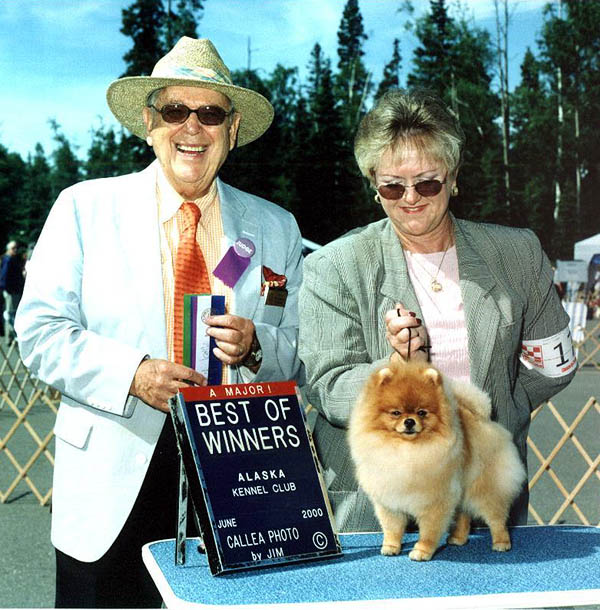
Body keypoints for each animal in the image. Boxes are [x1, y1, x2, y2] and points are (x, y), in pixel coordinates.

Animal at [348, 360, 526, 561]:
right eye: (396, 412)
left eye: (422, 412)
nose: (409, 421)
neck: (406, 450)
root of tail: (485, 421)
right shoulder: (389, 501)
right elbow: (392, 528)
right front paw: (391, 547)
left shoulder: (435, 501)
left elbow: (429, 531)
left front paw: (422, 551)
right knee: (463, 514)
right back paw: (458, 538)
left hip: (486, 489)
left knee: (497, 518)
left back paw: (501, 543)